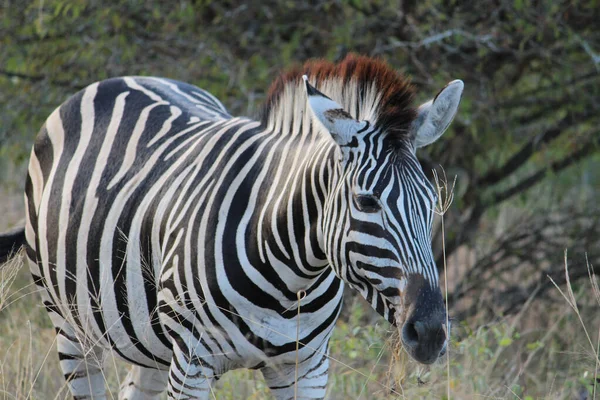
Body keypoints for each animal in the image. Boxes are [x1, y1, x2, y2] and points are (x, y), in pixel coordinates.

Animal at [0, 54, 464, 400]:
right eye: (367, 201)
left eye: (432, 204)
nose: (431, 333)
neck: (290, 275)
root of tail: (118, 78)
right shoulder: (192, 364)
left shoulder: (306, 367)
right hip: (70, 324)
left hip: (151, 341)